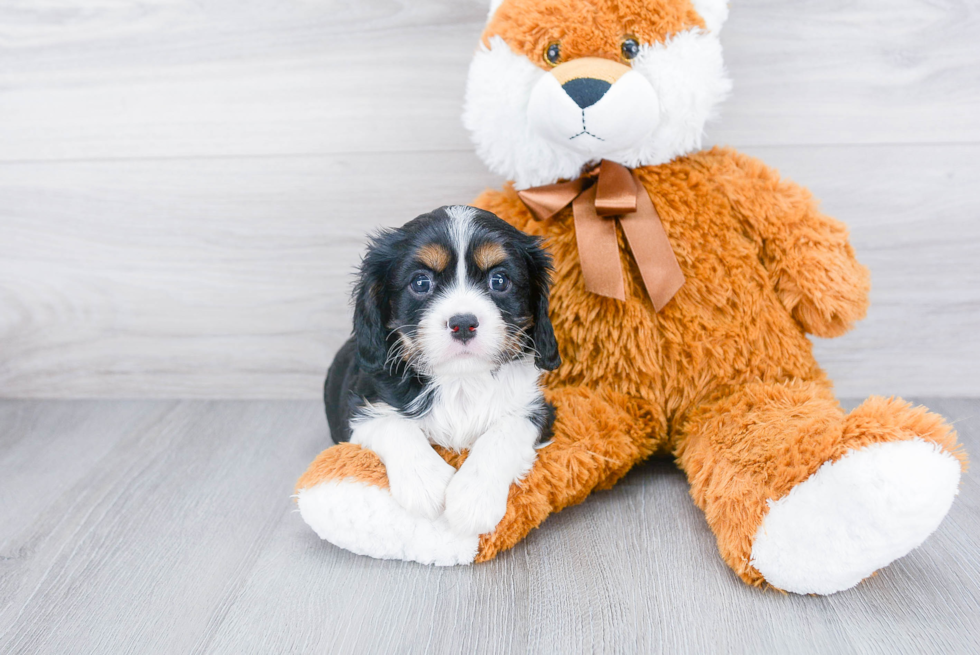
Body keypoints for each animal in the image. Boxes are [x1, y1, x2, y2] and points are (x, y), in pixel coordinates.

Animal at [326, 206, 560, 540]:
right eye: (421, 283)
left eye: (499, 280)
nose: (463, 323)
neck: (460, 379)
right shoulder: (359, 404)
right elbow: (393, 425)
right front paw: (425, 482)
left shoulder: (536, 408)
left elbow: (504, 433)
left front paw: (473, 497)